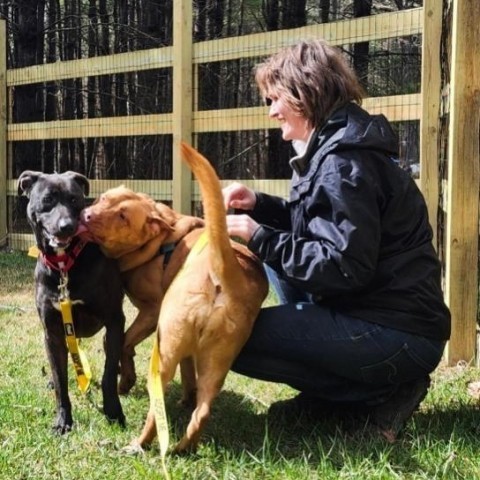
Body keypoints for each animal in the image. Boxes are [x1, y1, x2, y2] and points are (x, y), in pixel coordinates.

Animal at [18, 171, 126, 434]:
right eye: (48, 199)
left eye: (75, 199)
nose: (66, 226)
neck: (64, 266)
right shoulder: (53, 332)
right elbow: (60, 382)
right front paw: (63, 421)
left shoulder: (114, 321)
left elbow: (108, 375)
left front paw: (114, 412)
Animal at [81, 186, 204, 392]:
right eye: (104, 198)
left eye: (123, 217)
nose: (87, 216)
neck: (159, 245)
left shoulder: (152, 311)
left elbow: (124, 341)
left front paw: (126, 377)